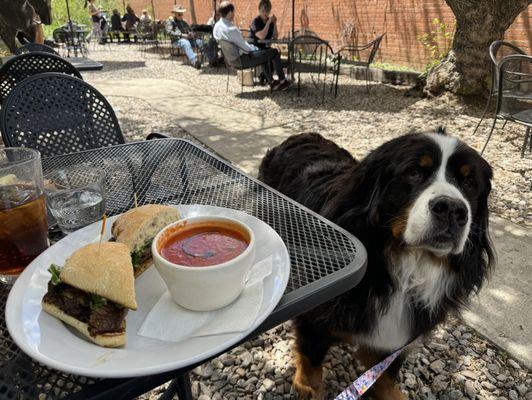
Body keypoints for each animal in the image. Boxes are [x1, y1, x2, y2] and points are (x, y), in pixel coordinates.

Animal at [258, 129, 494, 400]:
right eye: (414, 172)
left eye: (469, 183)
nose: (453, 209)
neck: (404, 266)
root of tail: (302, 134)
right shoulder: (316, 313)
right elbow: (312, 352)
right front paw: (308, 386)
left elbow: (385, 373)